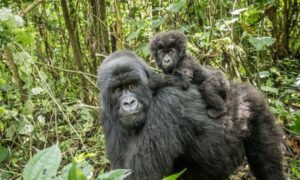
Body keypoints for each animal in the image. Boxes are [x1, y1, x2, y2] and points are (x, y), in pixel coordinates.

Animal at [97, 50, 284, 179]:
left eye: (132, 86)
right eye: (117, 90)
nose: (128, 102)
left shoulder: (166, 105)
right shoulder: (106, 114)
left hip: (256, 109)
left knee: (268, 166)